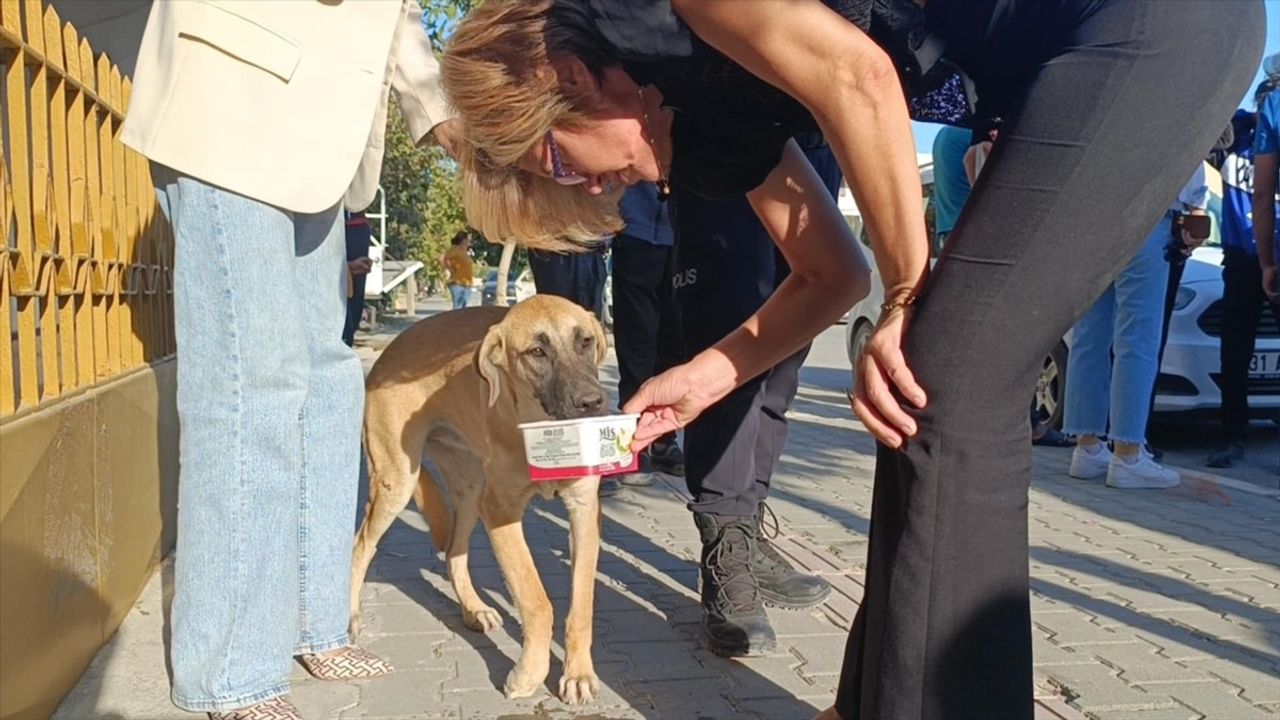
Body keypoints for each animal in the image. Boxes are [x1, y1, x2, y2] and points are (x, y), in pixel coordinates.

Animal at [350, 294, 609, 702]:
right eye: (537, 352)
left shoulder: (584, 511)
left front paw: (579, 673)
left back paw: (473, 609)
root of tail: (391, 350)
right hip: (396, 482)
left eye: (585, 341)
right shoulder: (502, 512)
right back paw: (349, 617)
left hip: (469, 490)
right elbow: (536, 600)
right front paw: (530, 672)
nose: (592, 402)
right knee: (361, 546)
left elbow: (581, 604)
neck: (543, 430)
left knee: (454, 554)